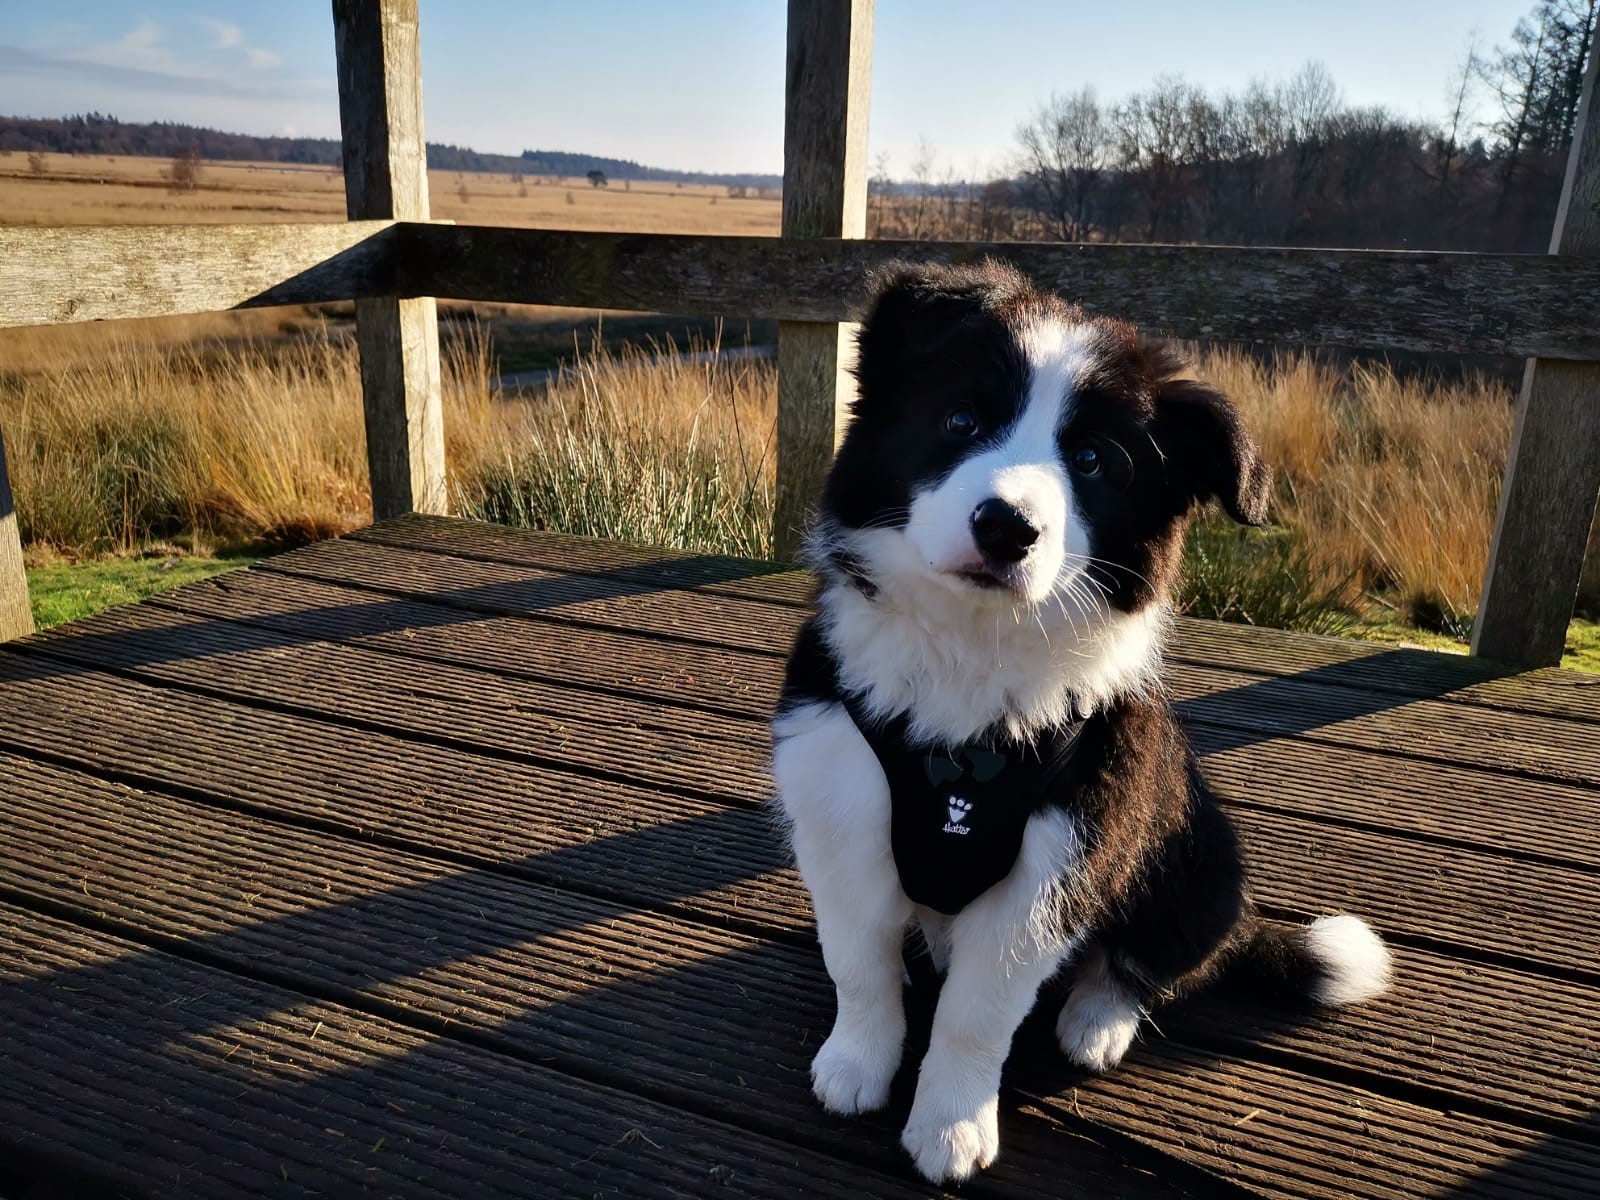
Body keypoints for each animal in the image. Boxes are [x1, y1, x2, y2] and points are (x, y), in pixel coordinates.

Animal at [770, 261, 1391, 1184]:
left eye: (1096, 461)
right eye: (960, 420)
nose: (1007, 527)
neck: (972, 654)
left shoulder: (1066, 853)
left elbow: (977, 1012)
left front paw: (951, 1127)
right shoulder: (839, 806)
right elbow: (858, 959)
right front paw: (856, 1064)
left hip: (1199, 863)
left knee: (1149, 962)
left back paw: (1097, 1021)